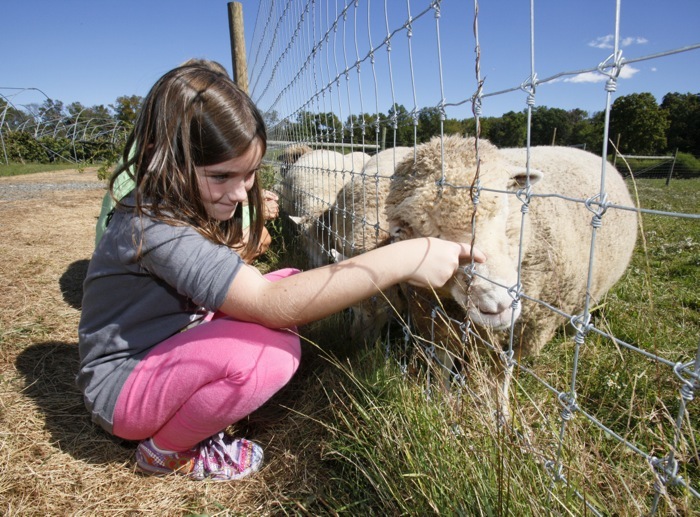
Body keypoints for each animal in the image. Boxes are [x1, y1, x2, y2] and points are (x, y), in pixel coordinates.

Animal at [384, 135, 638, 414]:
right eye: (425, 232)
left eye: (504, 211)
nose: (497, 305)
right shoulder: (435, 317)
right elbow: (443, 361)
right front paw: (443, 399)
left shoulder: (521, 333)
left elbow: (500, 372)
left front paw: (501, 413)